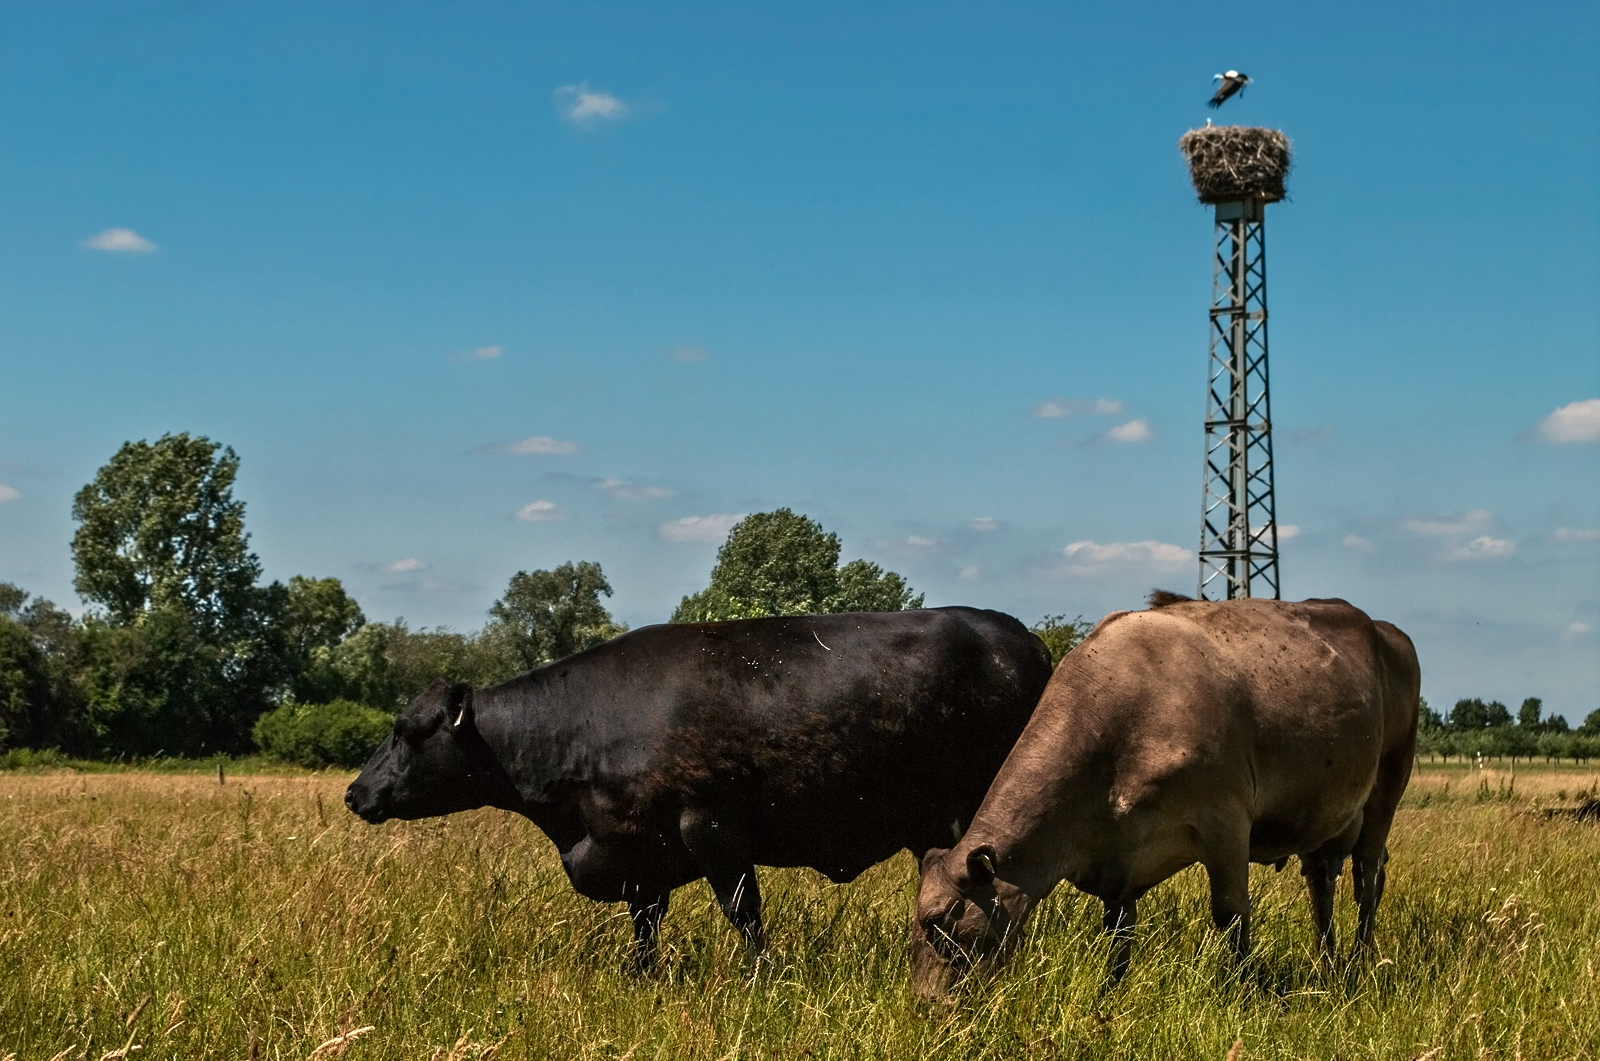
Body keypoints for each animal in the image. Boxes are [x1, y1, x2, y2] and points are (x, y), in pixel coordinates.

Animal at [344, 604, 1056, 972]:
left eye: (406, 731)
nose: (354, 794)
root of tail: (1020, 635)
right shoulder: (639, 851)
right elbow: (644, 923)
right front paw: (642, 978)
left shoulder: (711, 826)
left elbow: (744, 912)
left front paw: (761, 979)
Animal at [908, 592, 1420, 998]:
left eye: (938, 922)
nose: (926, 1007)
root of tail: (1385, 629)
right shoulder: (1118, 857)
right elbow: (1118, 934)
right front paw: (1108, 998)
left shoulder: (1226, 821)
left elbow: (1232, 915)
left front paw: (1244, 991)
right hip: (1326, 815)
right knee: (1322, 879)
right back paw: (1325, 958)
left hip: (1389, 783)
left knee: (1368, 876)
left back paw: (1359, 960)